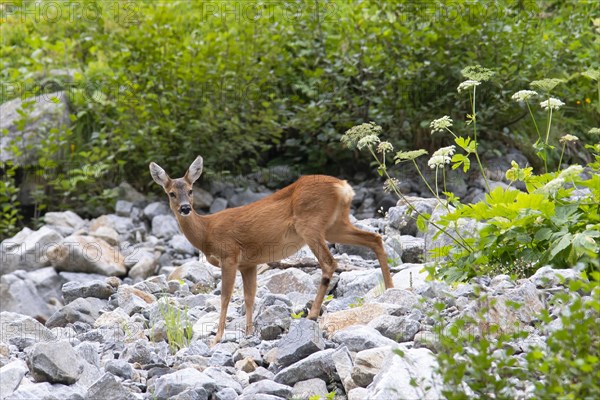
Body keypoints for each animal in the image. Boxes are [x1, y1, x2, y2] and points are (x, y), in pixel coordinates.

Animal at [150, 155, 394, 344]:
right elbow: (249, 297)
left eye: (191, 190)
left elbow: (225, 297)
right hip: (336, 225)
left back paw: (312, 314)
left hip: (310, 224)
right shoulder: (248, 264)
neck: (207, 232)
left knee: (329, 262)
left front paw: (217, 338)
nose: (185, 208)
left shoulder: (229, 256)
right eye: (171, 193)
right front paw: (248, 332)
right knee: (375, 238)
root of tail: (344, 187)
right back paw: (391, 290)